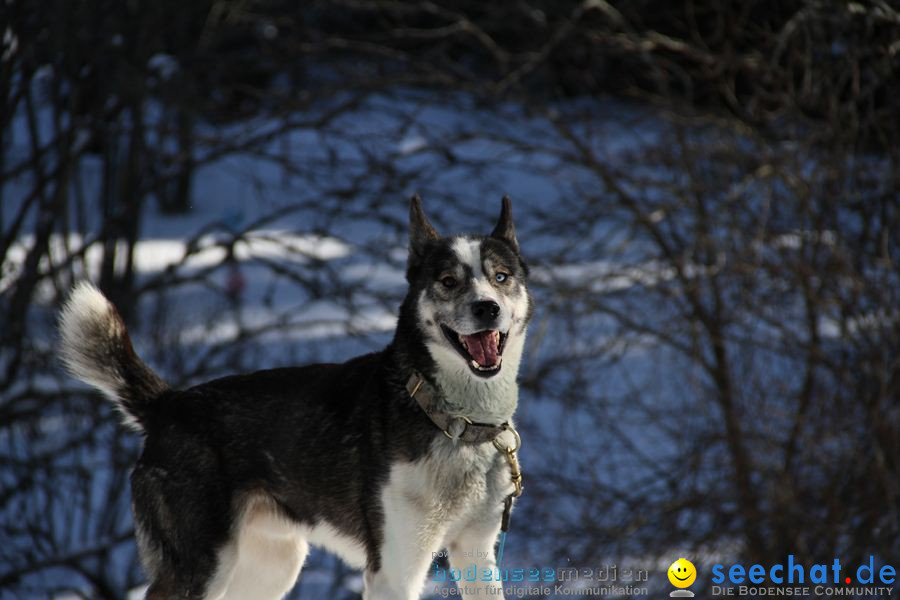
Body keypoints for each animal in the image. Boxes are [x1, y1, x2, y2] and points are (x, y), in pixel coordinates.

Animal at [59, 198, 532, 600]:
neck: (451, 419)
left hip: (272, 566)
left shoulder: (477, 553)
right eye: (449, 281)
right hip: (202, 568)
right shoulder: (394, 570)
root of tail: (167, 405)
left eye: (501, 277)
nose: (487, 307)